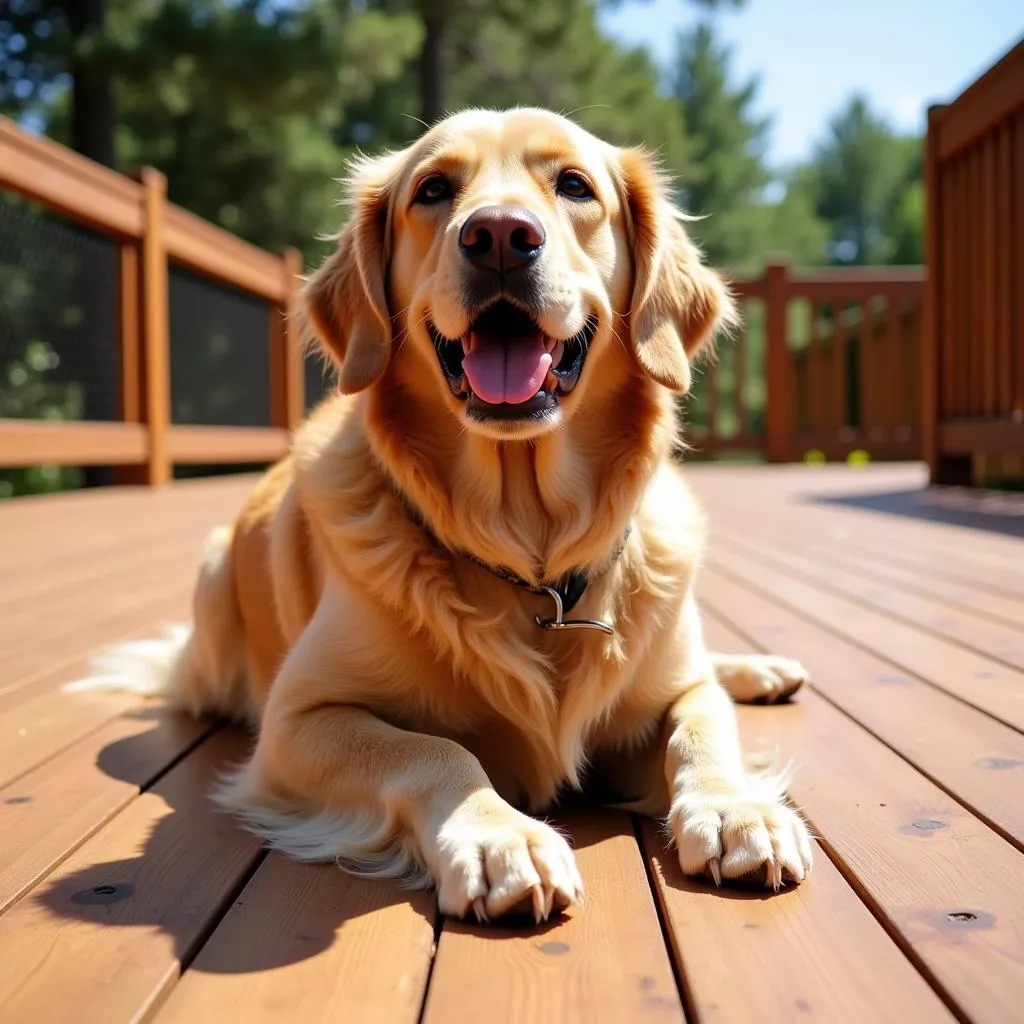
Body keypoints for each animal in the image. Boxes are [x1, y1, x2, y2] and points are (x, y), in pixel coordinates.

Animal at [68, 108, 811, 925]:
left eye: (574, 185)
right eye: (432, 189)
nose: (499, 235)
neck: (531, 553)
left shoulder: (677, 687)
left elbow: (702, 728)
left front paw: (736, 808)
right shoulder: (298, 720)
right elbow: (432, 750)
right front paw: (499, 837)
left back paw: (761, 669)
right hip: (211, 584)